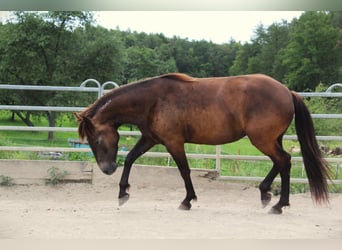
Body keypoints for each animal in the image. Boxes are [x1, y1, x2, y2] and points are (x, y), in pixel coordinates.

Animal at [75, 73, 332, 214]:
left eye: (96, 139)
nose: (107, 169)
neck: (153, 101)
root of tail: (287, 91)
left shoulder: (173, 142)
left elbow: (184, 171)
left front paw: (187, 201)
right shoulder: (150, 139)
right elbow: (130, 158)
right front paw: (122, 193)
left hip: (263, 140)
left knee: (284, 162)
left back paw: (279, 205)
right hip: (271, 139)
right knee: (280, 163)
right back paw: (266, 194)